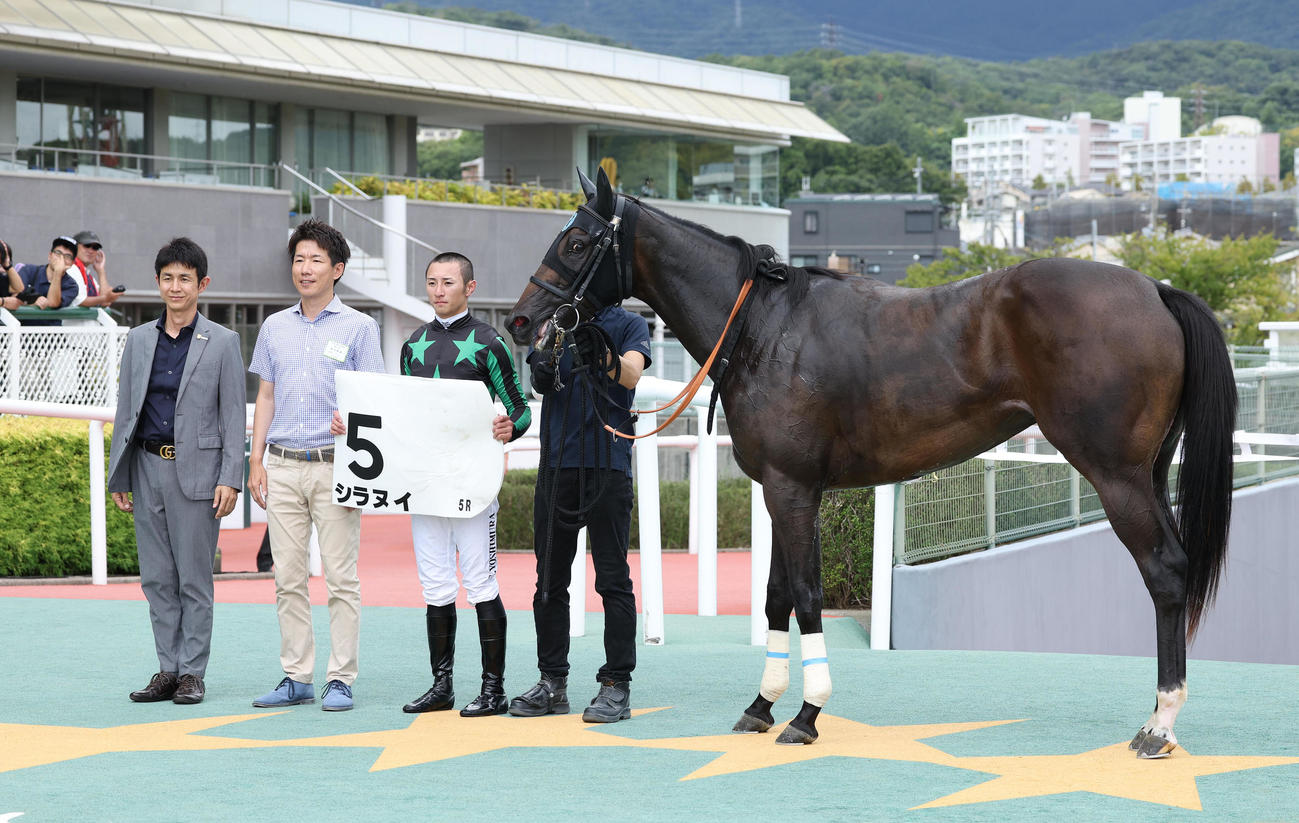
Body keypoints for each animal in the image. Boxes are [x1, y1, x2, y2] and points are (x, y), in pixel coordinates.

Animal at [507, 168, 1236, 759]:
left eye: (576, 243)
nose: (522, 322)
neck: (761, 326)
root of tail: (1156, 289)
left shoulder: (794, 489)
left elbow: (806, 595)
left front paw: (806, 714)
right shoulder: (779, 488)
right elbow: (775, 596)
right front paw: (761, 705)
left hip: (1115, 476)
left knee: (1165, 571)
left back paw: (1160, 724)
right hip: (1143, 474)